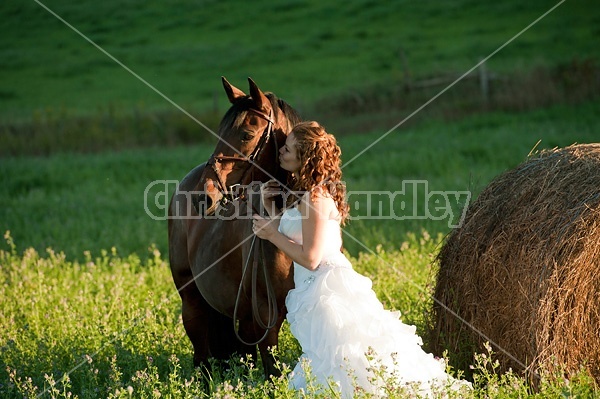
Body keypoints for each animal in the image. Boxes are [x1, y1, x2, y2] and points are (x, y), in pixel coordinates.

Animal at [168, 76, 300, 378]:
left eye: (246, 135)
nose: (203, 196)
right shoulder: (266, 315)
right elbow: (273, 372)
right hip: (192, 303)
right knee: (202, 360)